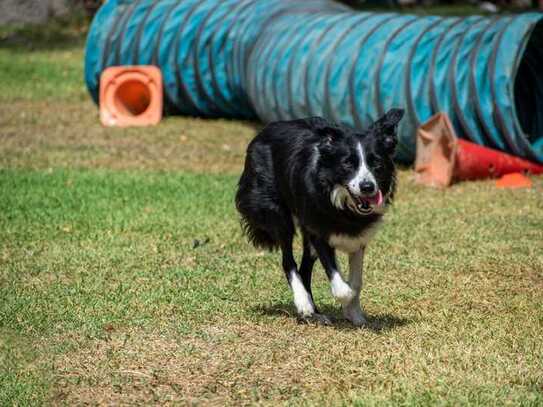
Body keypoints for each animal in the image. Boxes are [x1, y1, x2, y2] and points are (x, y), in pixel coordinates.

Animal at [237, 110, 404, 326]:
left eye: (377, 163)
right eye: (347, 163)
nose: (367, 187)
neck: (343, 206)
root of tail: (265, 130)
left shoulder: (358, 239)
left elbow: (356, 282)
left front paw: (354, 314)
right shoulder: (318, 232)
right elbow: (343, 288)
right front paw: (346, 304)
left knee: (304, 269)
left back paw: (314, 313)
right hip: (277, 213)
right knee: (288, 262)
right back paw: (304, 304)